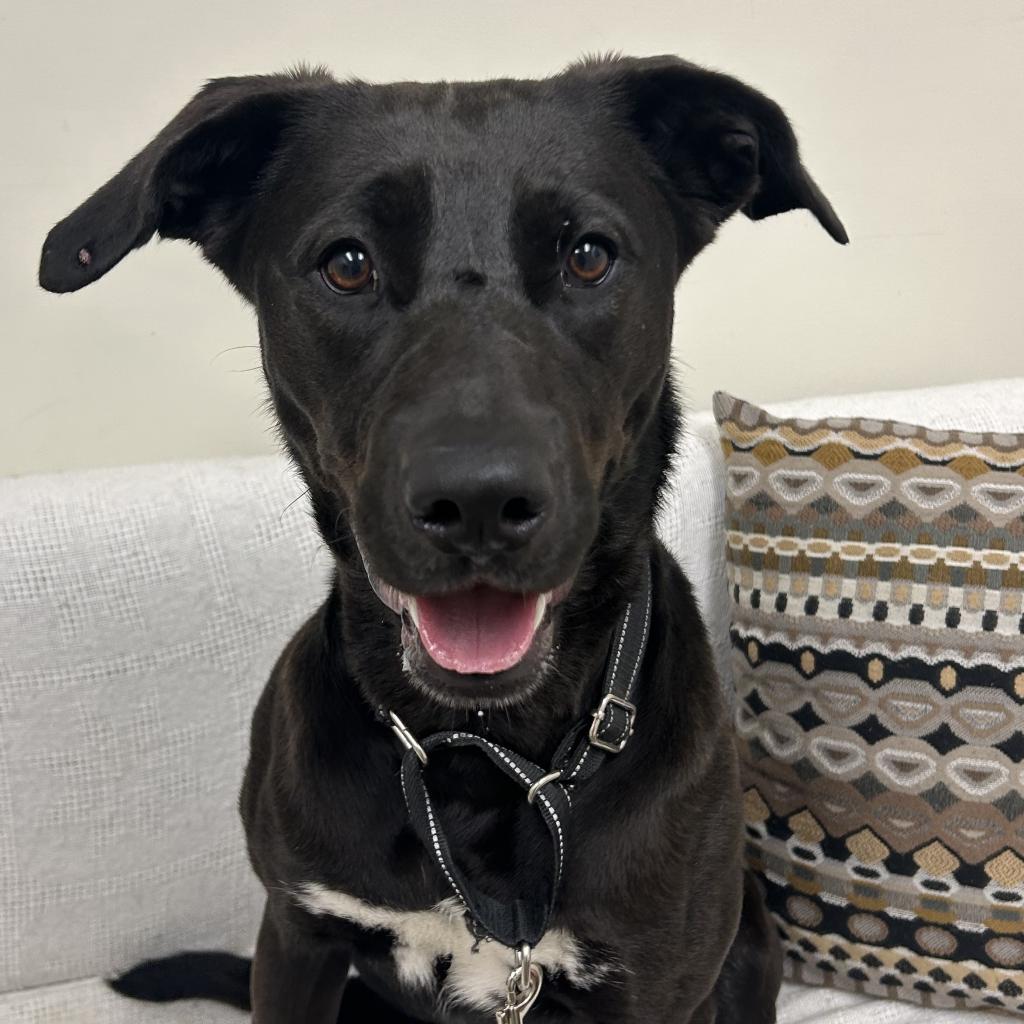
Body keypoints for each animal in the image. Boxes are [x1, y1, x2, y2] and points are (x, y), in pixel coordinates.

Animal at [39, 56, 843, 1024]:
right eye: (347, 265)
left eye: (588, 256)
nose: (480, 500)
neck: (478, 756)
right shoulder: (295, 935)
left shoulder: (653, 986)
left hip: (751, 944)